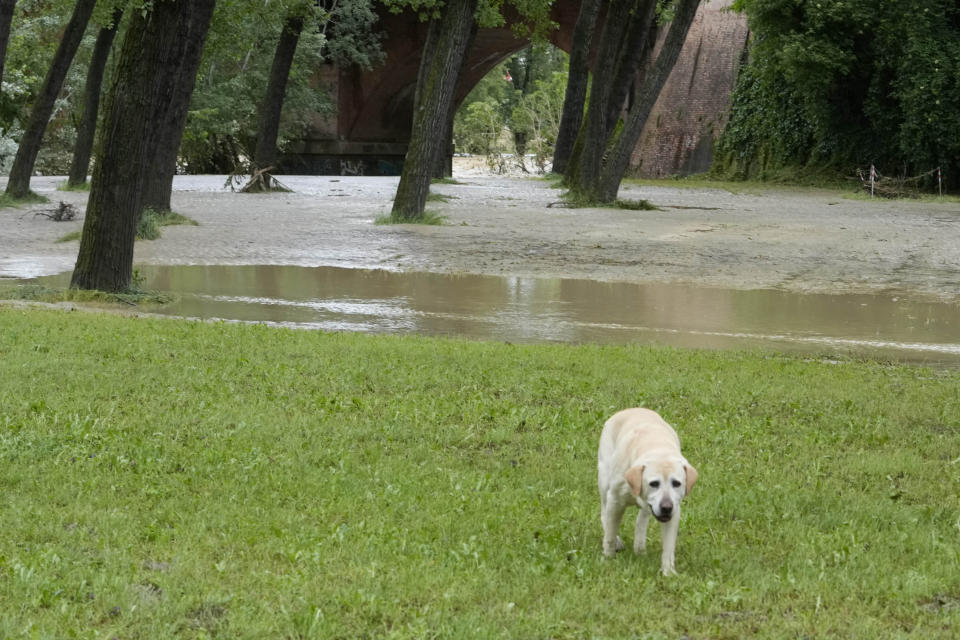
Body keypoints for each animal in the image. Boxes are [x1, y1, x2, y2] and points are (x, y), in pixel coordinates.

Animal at [592, 408, 696, 576]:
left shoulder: (674, 511)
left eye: (676, 483)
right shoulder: (615, 500)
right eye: (654, 483)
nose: (666, 507)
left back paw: (639, 547)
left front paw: (668, 572)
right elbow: (610, 532)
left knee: (641, 519)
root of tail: (630, 409)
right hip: (604, 479)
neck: (658, 449)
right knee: (604, 514)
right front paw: (608, 557)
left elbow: (668, 546)